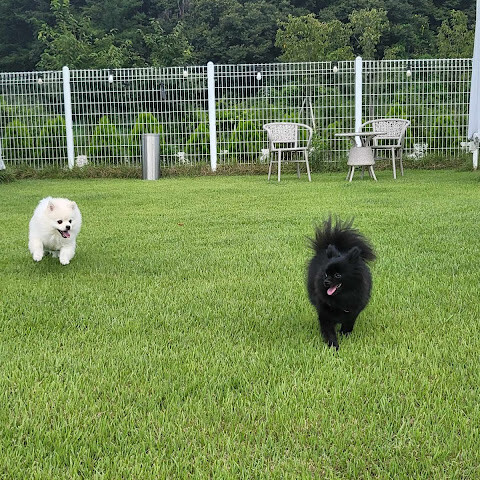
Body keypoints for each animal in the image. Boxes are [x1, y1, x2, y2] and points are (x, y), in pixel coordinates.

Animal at [307, 216, 376, 349]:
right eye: (326, 274)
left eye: (337, 275)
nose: (326, 282)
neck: (341, 298)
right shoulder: (325, 314)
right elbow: (329, 331)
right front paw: (334, 346)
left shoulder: (353, 312)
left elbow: (348, 325)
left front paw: (344, 336)